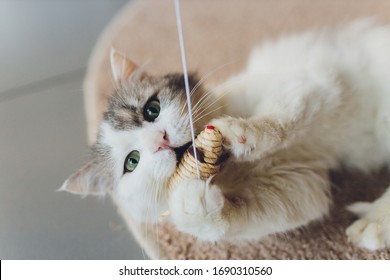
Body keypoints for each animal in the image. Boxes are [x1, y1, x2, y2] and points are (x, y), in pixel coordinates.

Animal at [62, 20, 390, 252]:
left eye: (151, 110)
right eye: (132, 162)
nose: (161, 139)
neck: (231, 170)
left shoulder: (308, 83)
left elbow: (275, 121)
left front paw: (239, 135)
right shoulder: (301, 184)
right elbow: (232, 221)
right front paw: (193, 204)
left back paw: (371, 224)